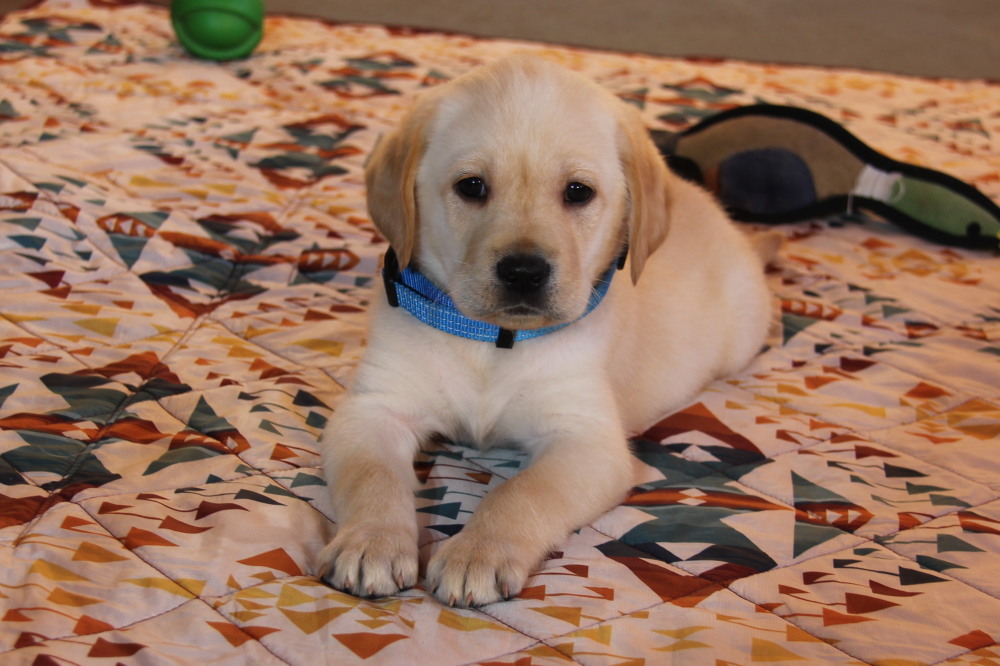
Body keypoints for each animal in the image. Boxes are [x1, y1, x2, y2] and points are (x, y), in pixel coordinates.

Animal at [318, 55, 772, 608]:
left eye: (578, 192)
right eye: (471, 187)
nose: (523, 272)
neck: (493, 340)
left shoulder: (585, 441)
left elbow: (520, 493)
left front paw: (478, 554)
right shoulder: (373, 410)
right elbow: (374, 477)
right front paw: (372, 542)